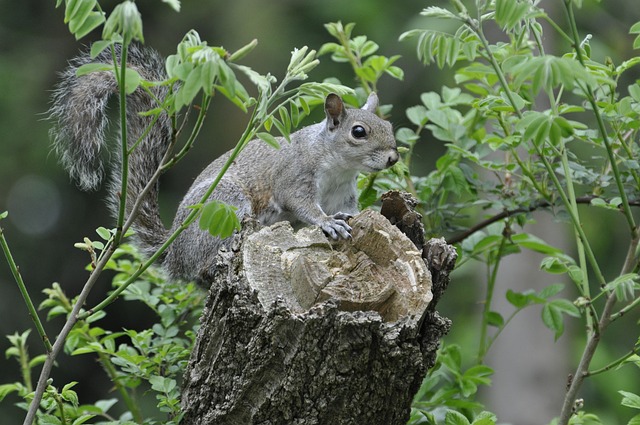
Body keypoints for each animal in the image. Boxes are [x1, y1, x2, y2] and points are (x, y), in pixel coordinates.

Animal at [50, 44, 398, 284]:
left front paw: (353, 218)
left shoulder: (343, 192)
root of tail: (174, 254)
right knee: (202, 267)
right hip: (225, 202)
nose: (393, 157)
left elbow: (349, 210)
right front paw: (327, 223)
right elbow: (300, 203)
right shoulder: (295, 174)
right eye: (358, 132)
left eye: (389, 126)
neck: (338, 166)